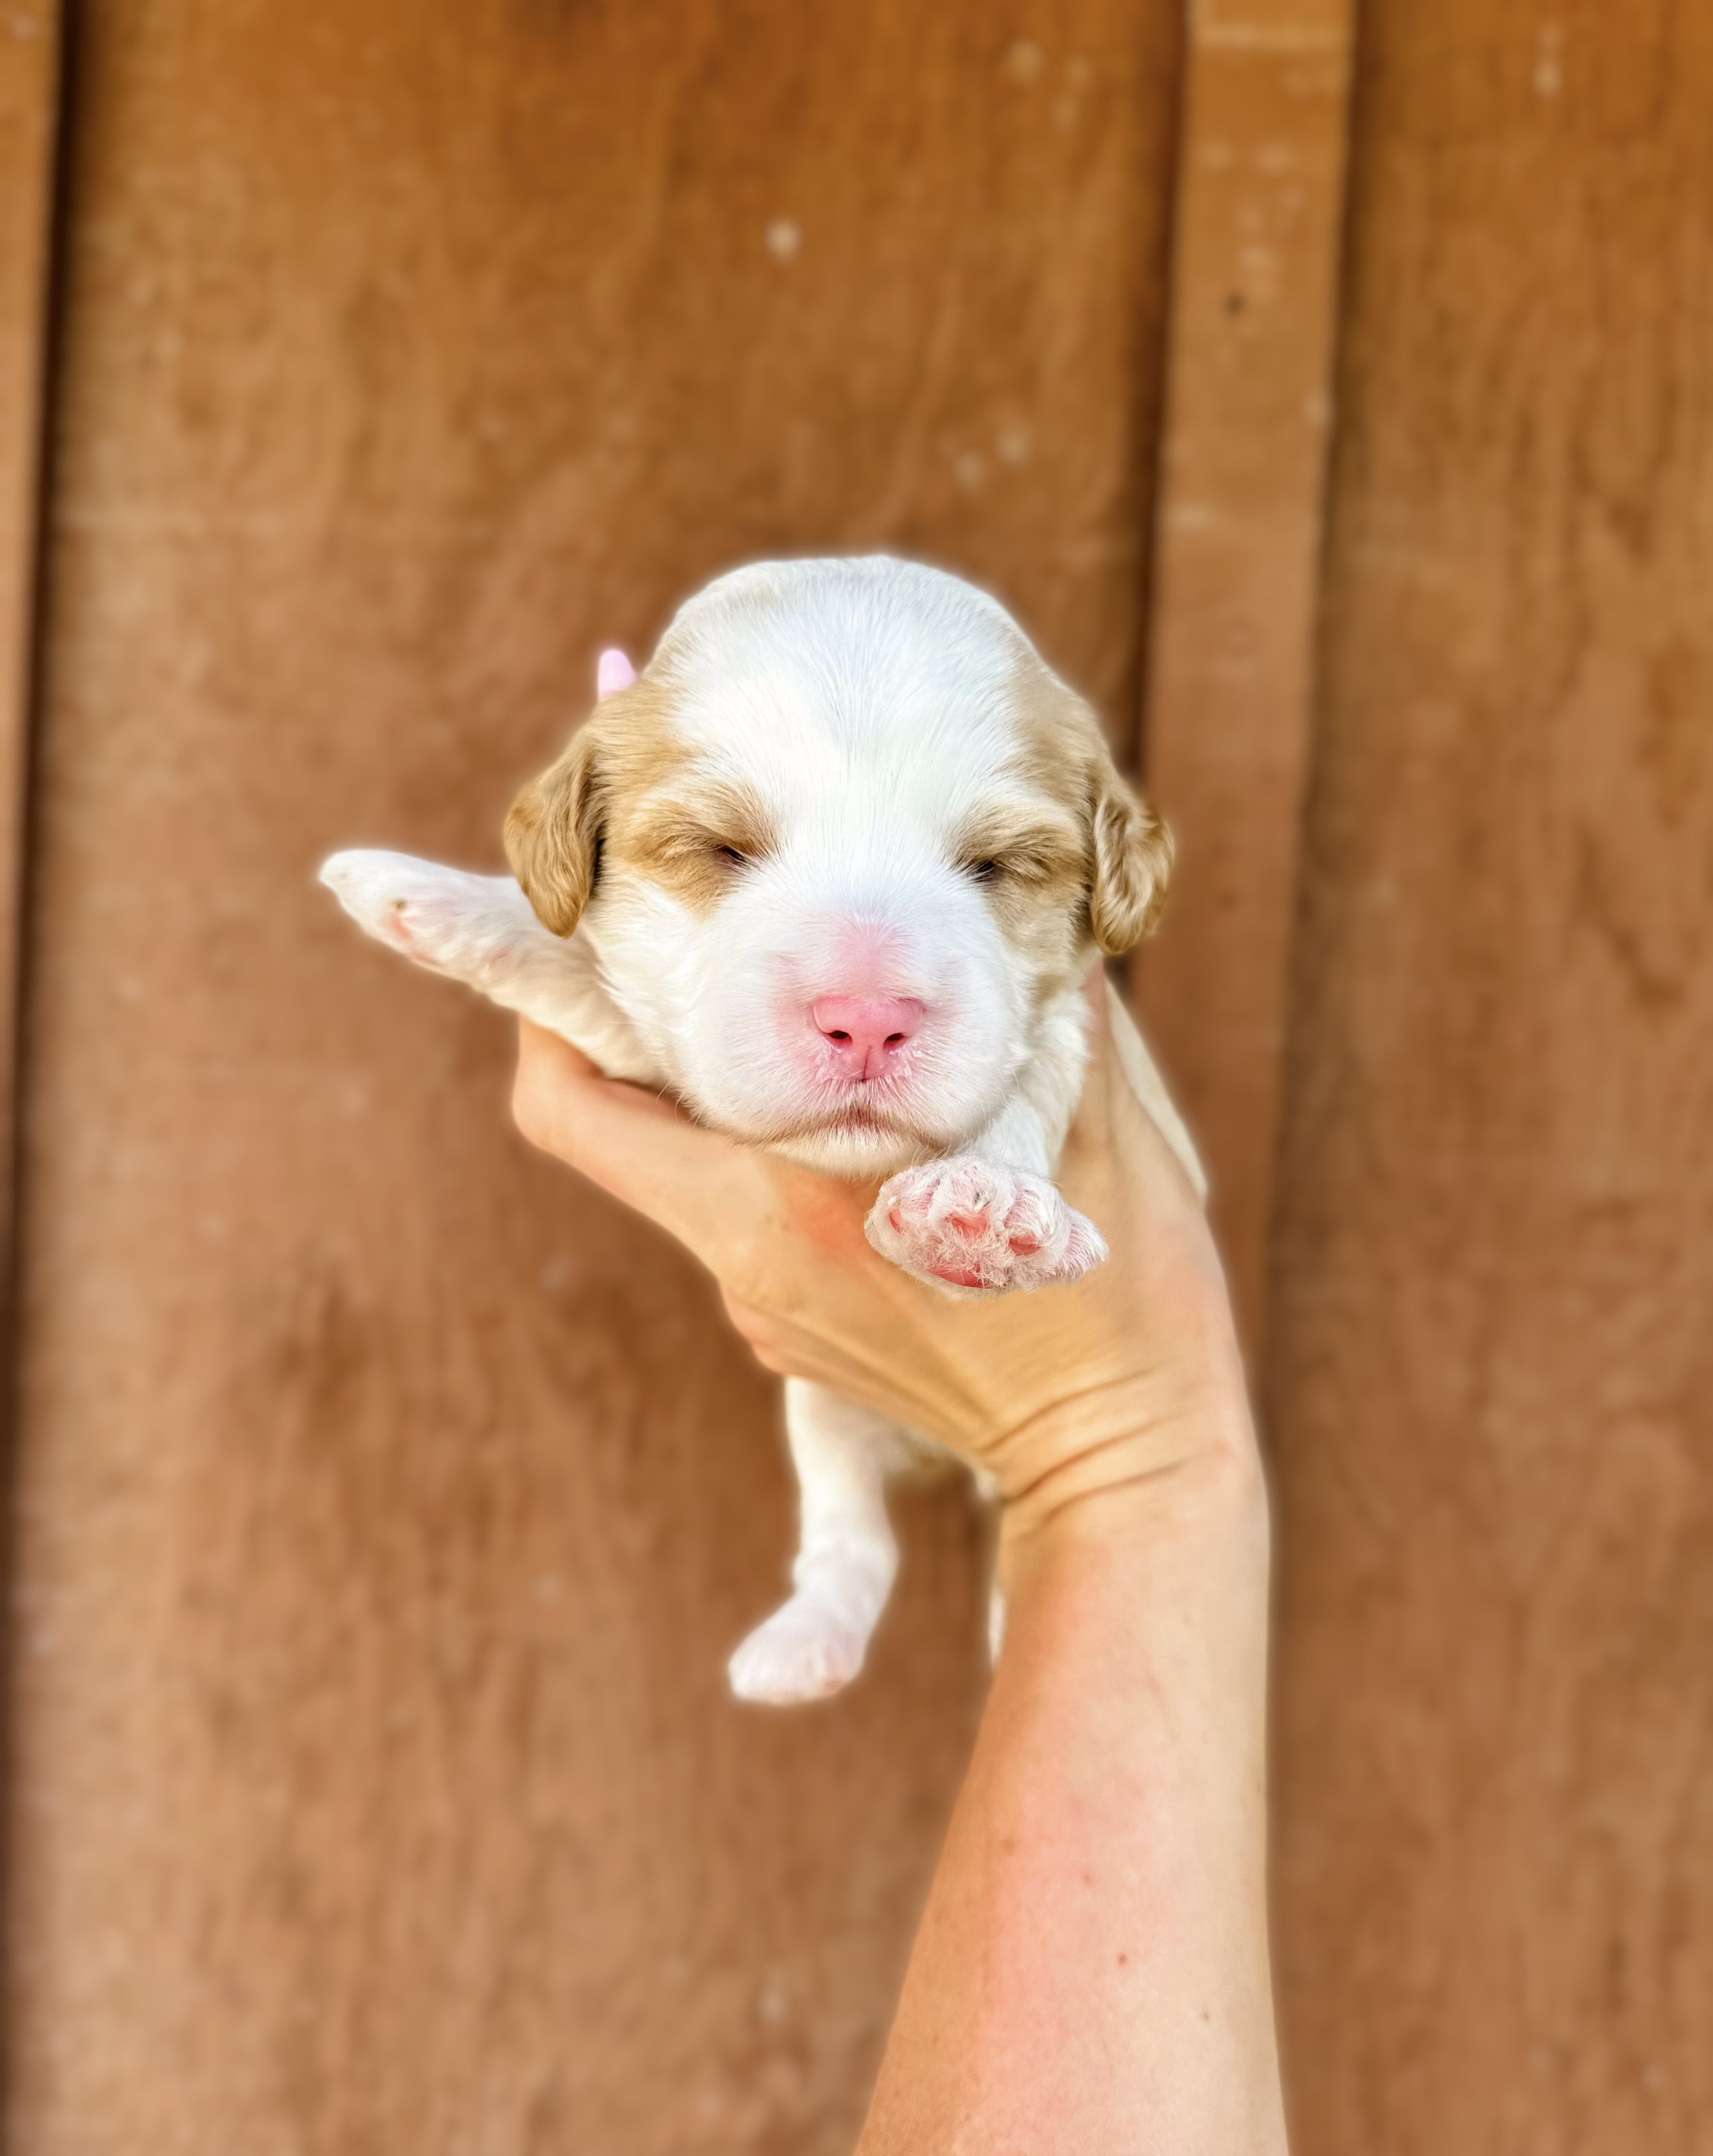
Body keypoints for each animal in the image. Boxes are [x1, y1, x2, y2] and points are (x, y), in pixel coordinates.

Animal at [323, 556, 1199, 1698]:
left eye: (996, 866)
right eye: (721, 848)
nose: (866, 1015)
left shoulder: (1072, 1028)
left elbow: (1020, 1093)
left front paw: (980, 1202)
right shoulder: (674, 1051)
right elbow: (578, 965)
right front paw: (423, 894)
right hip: (821, 1408)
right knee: (849, 1533)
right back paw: (807, 1645)